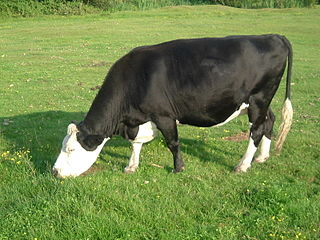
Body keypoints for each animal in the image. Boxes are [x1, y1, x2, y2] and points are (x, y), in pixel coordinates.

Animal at [52, 34, 292, 178]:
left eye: (71, 149)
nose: (55, 171)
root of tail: (272, 36)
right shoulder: (140, 119)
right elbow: (135, 143)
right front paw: (131, 166)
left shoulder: (164, 115)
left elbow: (173, 143)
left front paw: (178, 168)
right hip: (259, 102)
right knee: (269, 121)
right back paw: (262, 157)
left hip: (258, 98)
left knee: (256, 130)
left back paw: (243, 165)